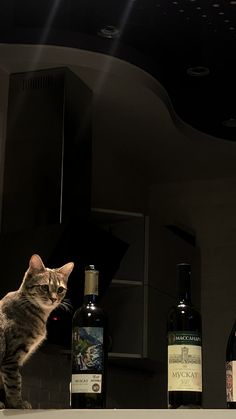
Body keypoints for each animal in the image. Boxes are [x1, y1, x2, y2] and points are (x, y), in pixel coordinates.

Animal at [0, 254, 74, 408]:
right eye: (44, 287)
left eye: (60, 289)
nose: (53, 299)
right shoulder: (12, 356)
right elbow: (14, 382)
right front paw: (16, 403)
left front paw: (10, 403)